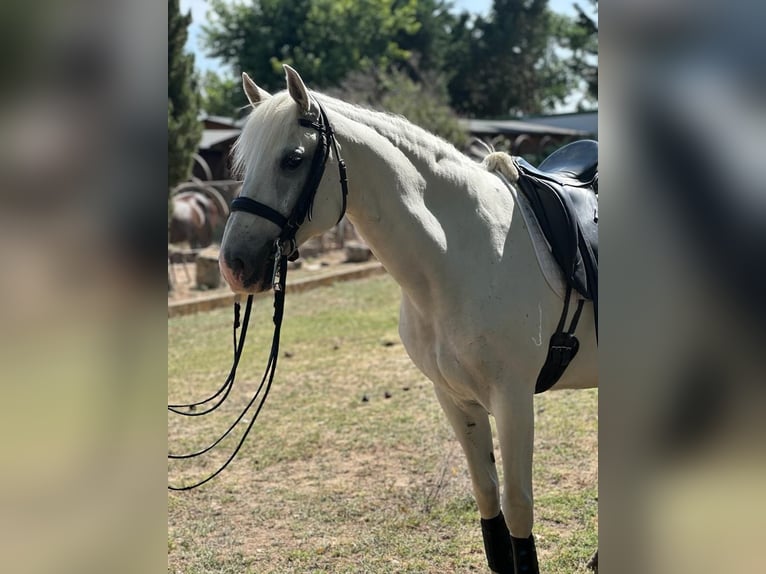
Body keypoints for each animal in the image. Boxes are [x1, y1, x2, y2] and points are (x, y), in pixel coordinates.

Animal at [219, 67, 596, 574]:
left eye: (292, 160)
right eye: (244, 163)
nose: (234, 265)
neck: (464, 253)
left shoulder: (513, 399)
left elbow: (518, 510)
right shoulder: (455, 399)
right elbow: (488, 503)